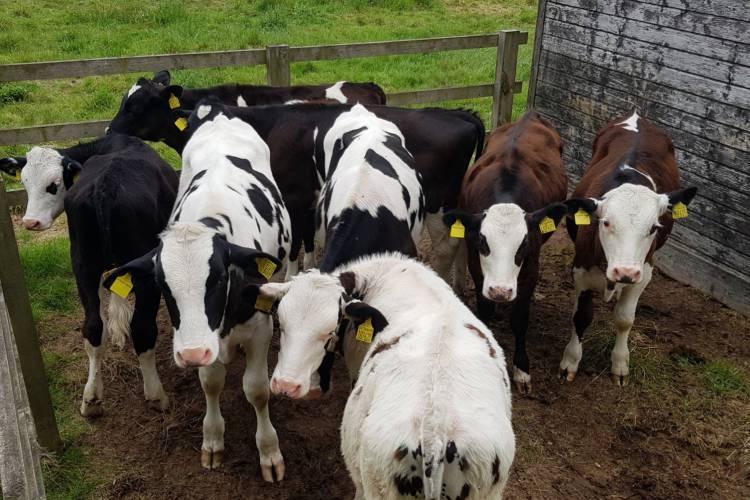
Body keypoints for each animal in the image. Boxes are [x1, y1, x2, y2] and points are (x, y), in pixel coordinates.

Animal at [0, 134, 178, 416]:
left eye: (53, 185)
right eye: (25, 182)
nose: (30, 223)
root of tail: (106, 186)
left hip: (82, 265)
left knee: (93, 328)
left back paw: (92, 398)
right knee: (142, 328)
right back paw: (156, 395)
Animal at [103, 98, 289, 479]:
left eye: (216, 278)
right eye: (162, 285)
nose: (190, 355)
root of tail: (218, 110)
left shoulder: (259, 326)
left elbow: (257, 389)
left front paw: (268, 451)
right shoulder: (202, 339)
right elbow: (211, 381)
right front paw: (213, 440)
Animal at [108, 101, 484, 287]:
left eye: (136, 106)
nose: (110, 130)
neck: (272, 123)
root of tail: (458, 114)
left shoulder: (294, 197)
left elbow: (295, 244)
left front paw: (291, 272)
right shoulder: (308, 201)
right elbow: (306, 240)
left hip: (438, 205)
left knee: (447, 246)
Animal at [442, 111, 568, 394]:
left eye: (523, 244)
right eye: (482, 242)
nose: (500, 291)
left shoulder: (531, 268)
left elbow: (520, 320)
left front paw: (522, 369)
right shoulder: (476, 267)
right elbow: (485, 311)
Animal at [560, 111, 697, 386]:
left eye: (654, 227)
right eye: (606, 222)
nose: (624, 272)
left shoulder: (644, 273)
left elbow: (624, 319)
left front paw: (620, 363)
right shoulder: (580, 270)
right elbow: (581, 316)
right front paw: (570, 361)